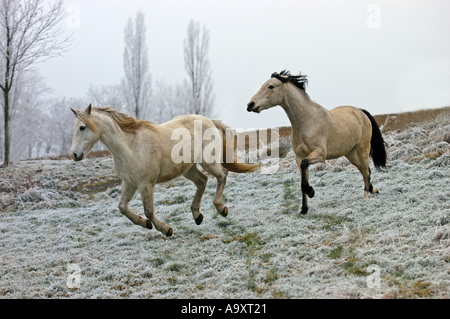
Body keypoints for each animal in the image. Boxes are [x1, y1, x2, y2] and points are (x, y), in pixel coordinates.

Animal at [70, 106, 260, 239]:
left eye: (82, 127)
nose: (74, 155)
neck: (130, 147)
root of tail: (209, 120)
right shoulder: (129, 183)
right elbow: (122, 207)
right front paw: (145, 224)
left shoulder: (146, 184)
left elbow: (149, 211)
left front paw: (165, 229)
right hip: (188, 168)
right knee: (202, 181)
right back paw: (197, 216)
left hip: (208, 161)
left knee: (222, 175)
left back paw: (221, 209)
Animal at [246, 70, 386, 215]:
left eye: (271, 86)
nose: (250, 105)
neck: (307, 121)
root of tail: (360, 112)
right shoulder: (299, 157)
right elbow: (302, 181)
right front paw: (304, 209)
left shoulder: (320, 154)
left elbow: (305, 167)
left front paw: (311, 192)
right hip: (350, 153)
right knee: (364, 169)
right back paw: (373, 189)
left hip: (363, 149)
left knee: (366, 170)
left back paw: (366, 196)